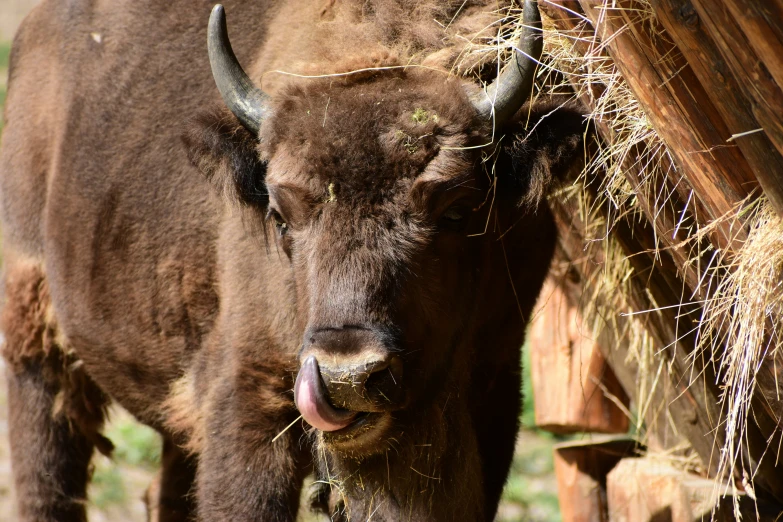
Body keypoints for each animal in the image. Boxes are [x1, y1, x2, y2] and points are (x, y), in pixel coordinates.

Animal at [1, 0, 588, 516]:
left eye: (457, 209)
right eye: (280, 214)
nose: (347, 377)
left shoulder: (493, 387)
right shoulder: (248, 397)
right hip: (35, 348)